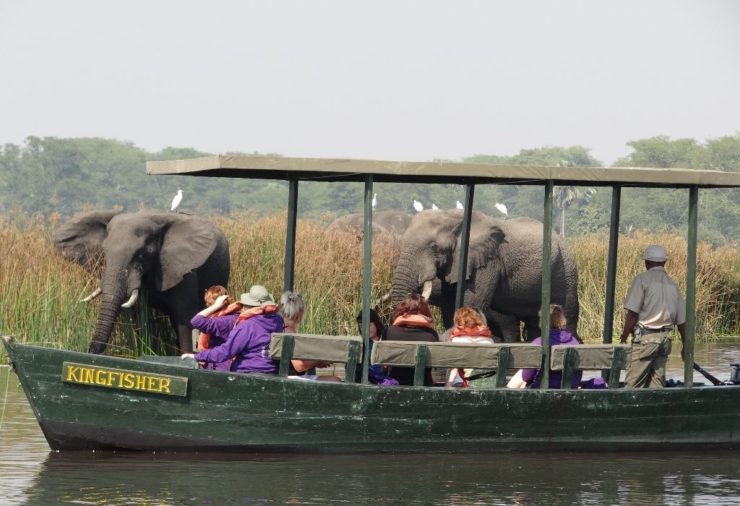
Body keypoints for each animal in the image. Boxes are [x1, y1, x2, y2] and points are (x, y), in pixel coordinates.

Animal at [52, 208, 228, 354]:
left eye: (141, 255)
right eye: (104, 252)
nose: (90, 351)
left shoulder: (183, 268)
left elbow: (184, 318)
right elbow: (138, 316)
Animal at [390, 208, 580, 342]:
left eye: (434, 247)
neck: (453, 216)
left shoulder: (486, 264)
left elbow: (471, 303)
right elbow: (449, 305)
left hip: (565, 272)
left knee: (566, 316)